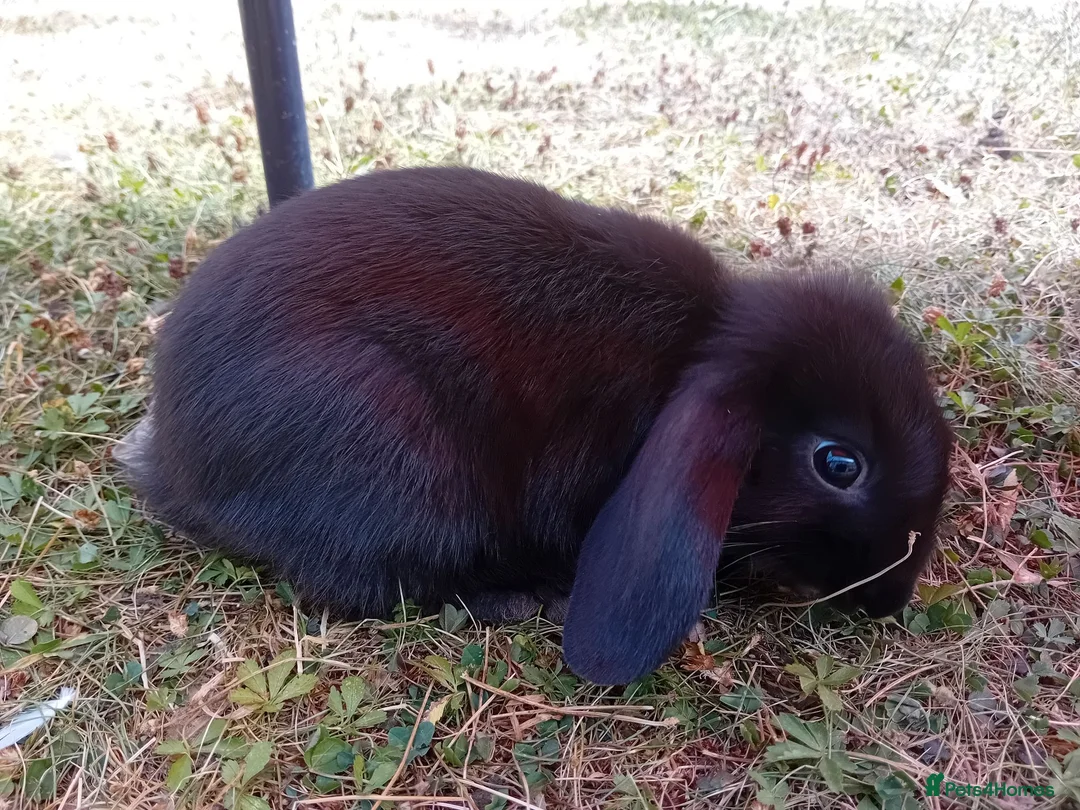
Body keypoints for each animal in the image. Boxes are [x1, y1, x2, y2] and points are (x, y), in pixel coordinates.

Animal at [114, 165, 953, 686]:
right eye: (839, 463)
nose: (892, 599)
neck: (695, 352)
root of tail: (177, 468)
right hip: (396, 450)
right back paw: (525, 597)